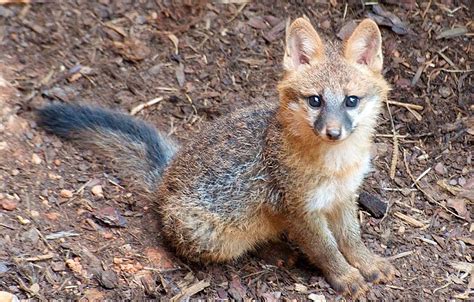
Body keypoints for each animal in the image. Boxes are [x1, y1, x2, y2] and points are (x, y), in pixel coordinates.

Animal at [36, 17, 392, 296]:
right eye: (315, 101)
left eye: (351, 101)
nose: (333, 132)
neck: (336, 165)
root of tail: (167, 173)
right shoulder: (299, 210)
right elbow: (327, 249)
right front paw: (346, 277)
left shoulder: (344, 197)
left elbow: (351, 238)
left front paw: (368, 265)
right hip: (216, 236)